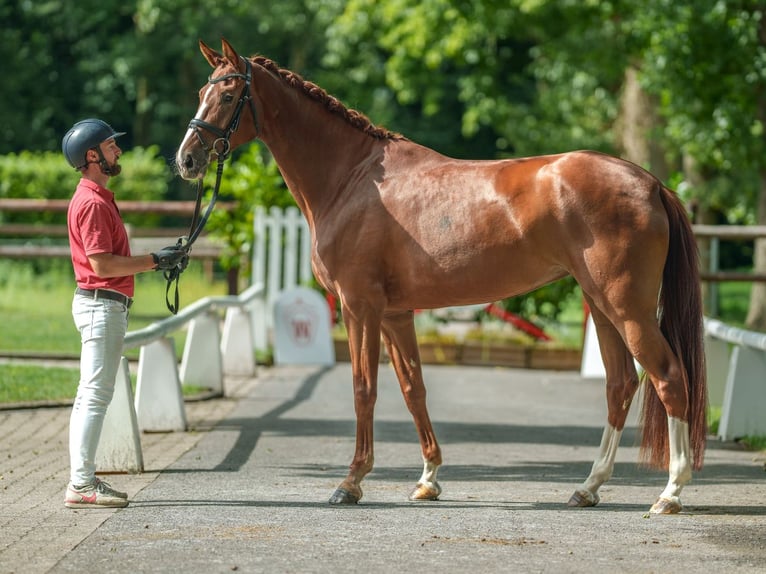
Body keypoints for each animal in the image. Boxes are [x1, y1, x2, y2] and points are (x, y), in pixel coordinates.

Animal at [176, 41, 708, 516]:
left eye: (228, 94)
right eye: (201, 90)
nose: (187, 159)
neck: (351, 180)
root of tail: (650, 183)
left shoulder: (359, 307)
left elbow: (363, 388)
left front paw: (350, 483)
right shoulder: (395, 314)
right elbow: (414, 388)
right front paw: (428, 479)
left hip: (628, 308)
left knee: (668, 377)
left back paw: (671, 493)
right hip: (600, 305)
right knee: (620, 385)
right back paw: (588, 488)